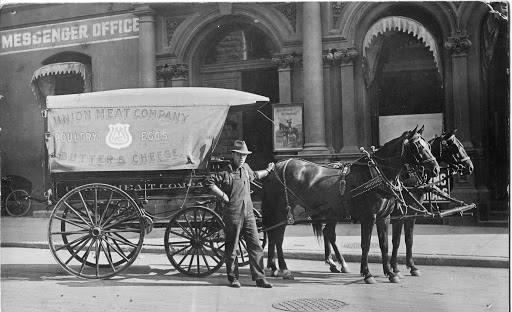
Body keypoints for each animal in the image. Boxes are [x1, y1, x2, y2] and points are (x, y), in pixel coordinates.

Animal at [260, 125, 440, 284]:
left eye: (429, 145)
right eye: (418, 146)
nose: (436, 169)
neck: (375, 174)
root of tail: (275, 167)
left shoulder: (385, 217)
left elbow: (386, 244)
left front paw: (390, 272)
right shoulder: (370, 217)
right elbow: (367, 244)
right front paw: (368, 274)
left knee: (283, 235)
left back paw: (276, 267)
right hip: (282, 212)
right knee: (278, 238)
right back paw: (284, 269)